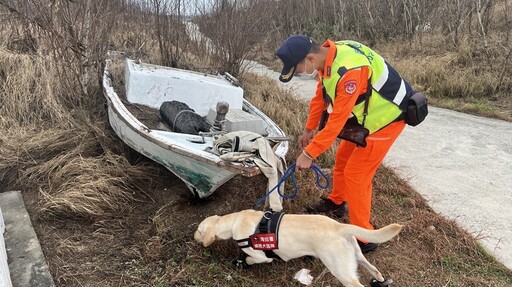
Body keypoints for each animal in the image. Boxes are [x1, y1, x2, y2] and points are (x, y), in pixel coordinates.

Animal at [194, 209, 402, 287]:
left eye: (198, 230)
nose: (193, 237)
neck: (235, 220)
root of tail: (339, 226)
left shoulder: (262, 256)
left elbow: (252, 259)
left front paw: (242, 263)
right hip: (356, 255)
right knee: (374, 269)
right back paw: (380, 280)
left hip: (340, 269)